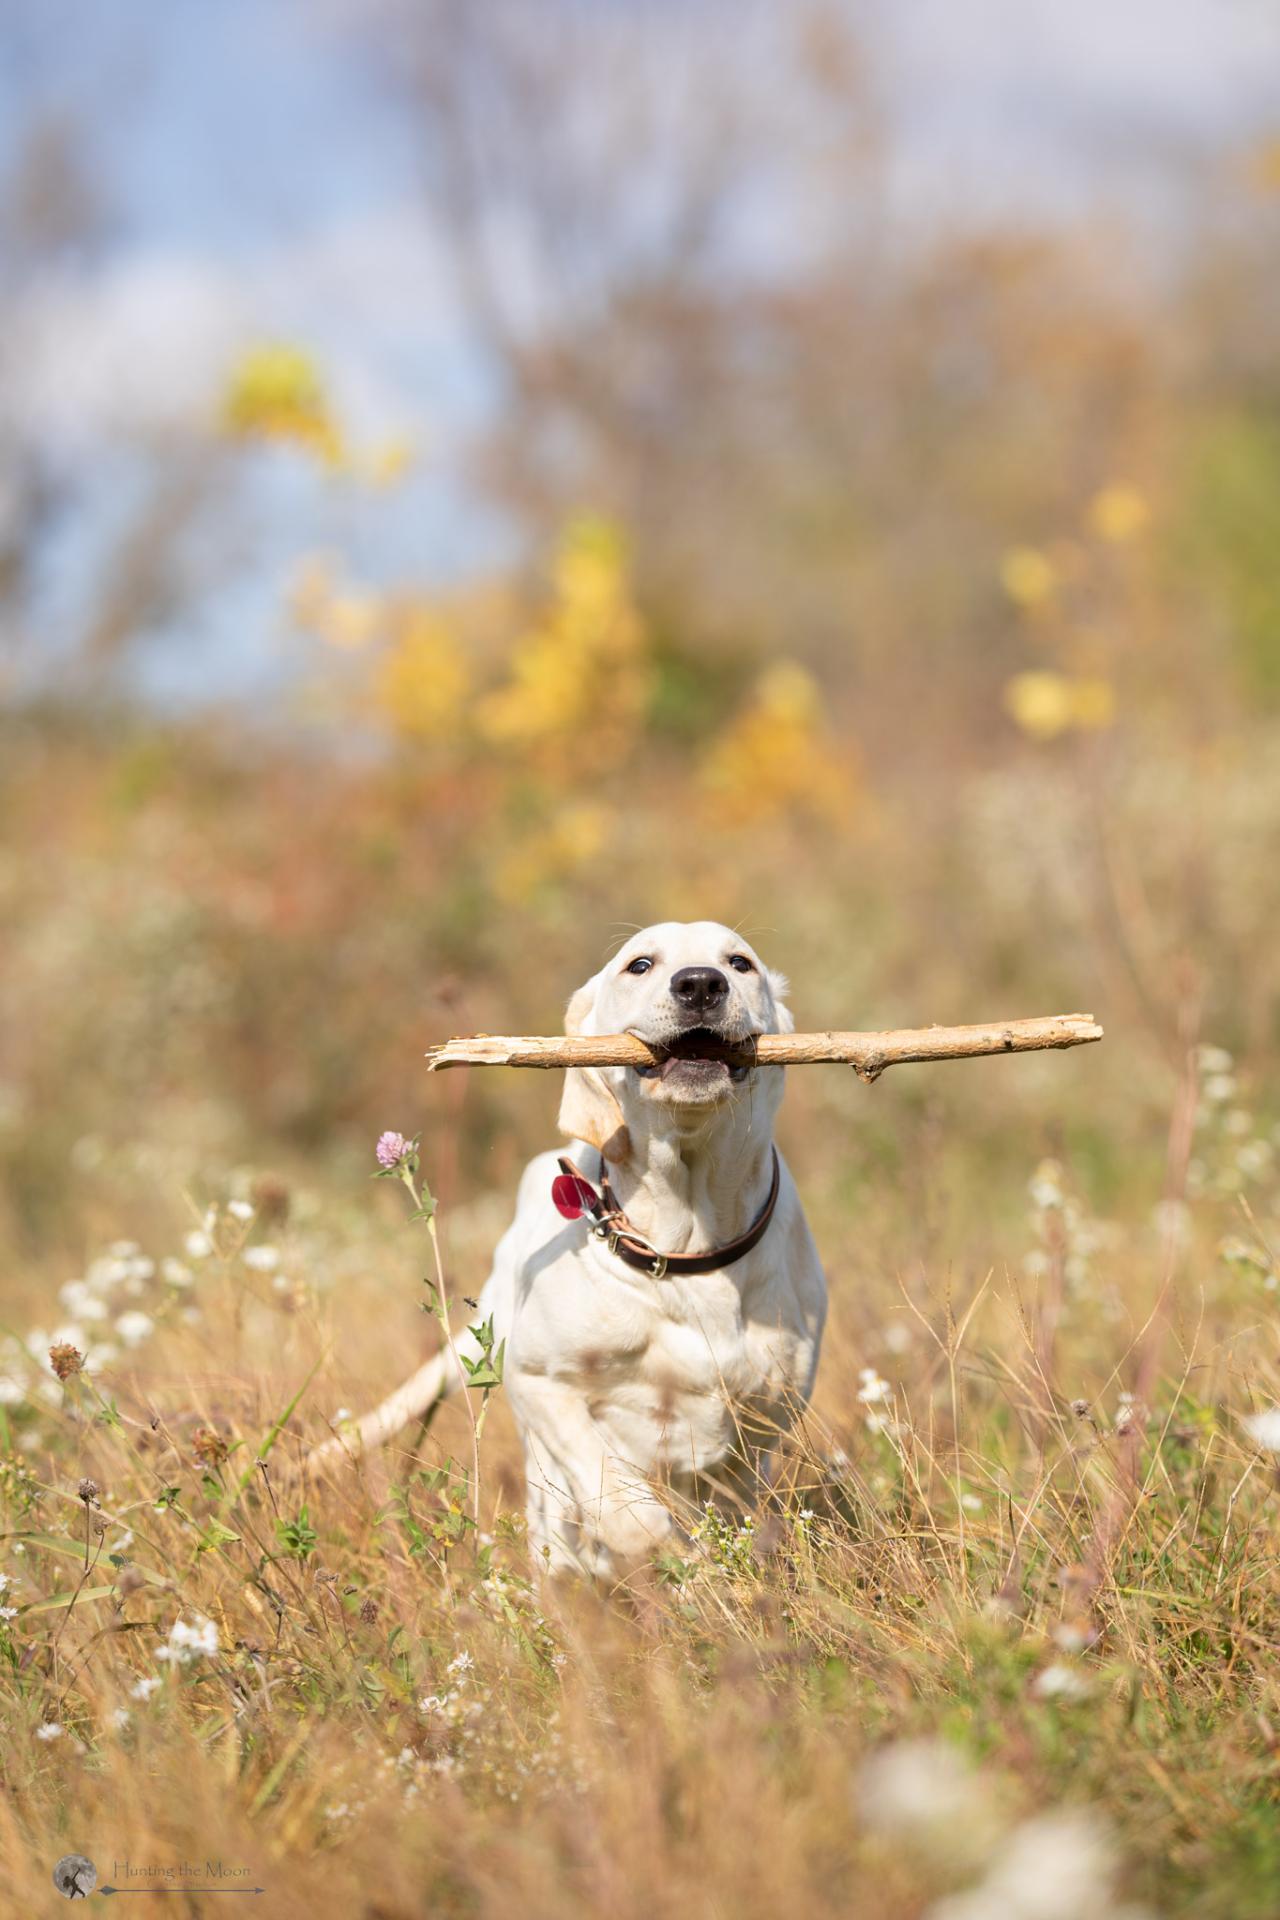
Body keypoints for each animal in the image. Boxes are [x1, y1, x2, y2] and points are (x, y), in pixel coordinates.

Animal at [314, 925, 825, 1574]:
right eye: (640, 965)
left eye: (740, 963)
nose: (701, 985)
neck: (687, 1245)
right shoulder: (538, 1382)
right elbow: (625, 1507)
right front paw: (659, 1555)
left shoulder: (765, 1416)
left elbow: (723, 1512)